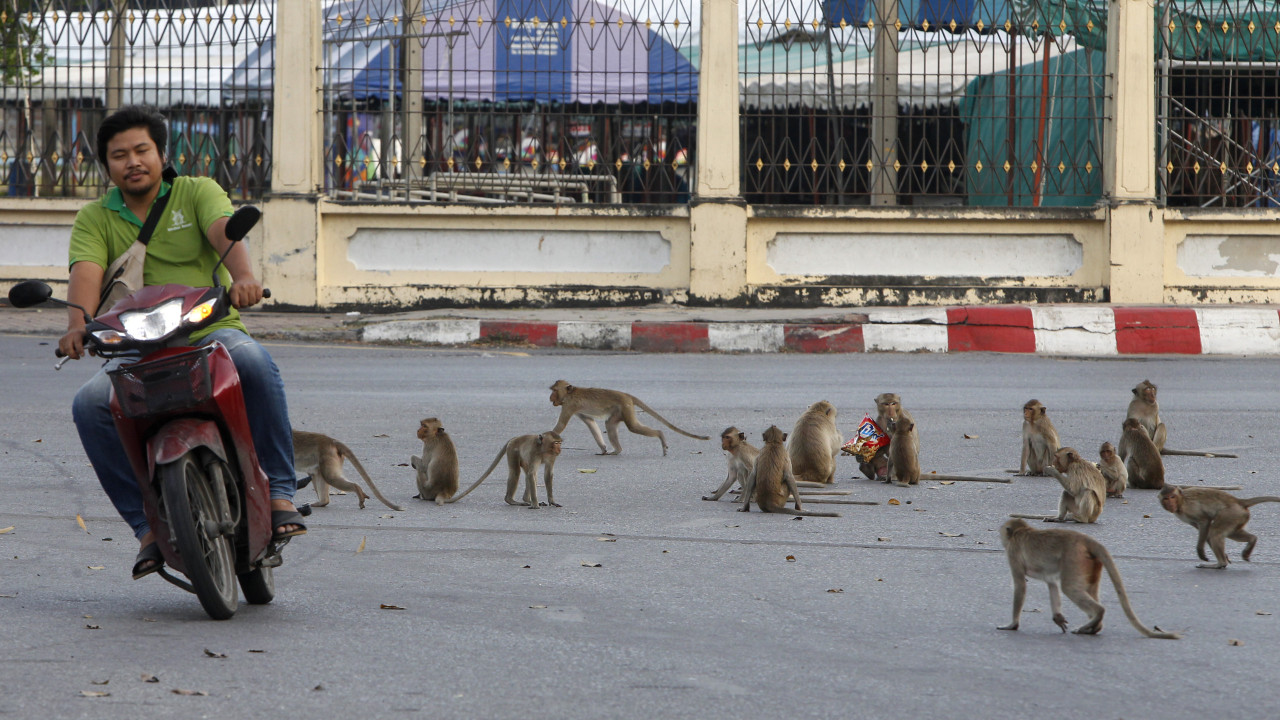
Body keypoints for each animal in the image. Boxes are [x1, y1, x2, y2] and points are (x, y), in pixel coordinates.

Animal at [550, 381, 711, 453]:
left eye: (554, 390)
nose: (551, 397)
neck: (570, 394)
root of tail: (627, 395)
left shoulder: (569, 405)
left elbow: (561, 426)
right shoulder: (574, 408)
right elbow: (590, 422)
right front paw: (603, 448)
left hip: (626, 407)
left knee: (633, 427)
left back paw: (660, 435)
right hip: (619, 411)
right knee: (610, 424)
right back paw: (617, 450)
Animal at [998, 515, 1177, 638]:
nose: (1002, 539)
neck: (1021, 531)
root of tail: (1085, 539)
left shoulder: (1012, 553)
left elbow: (1020, 585)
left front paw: (1013, 624)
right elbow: (1051, 583)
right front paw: (1057, 618)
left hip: (1075, 558)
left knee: (1069, 587)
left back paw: (1097, 615)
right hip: (1092, 564)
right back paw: (1094, 627)